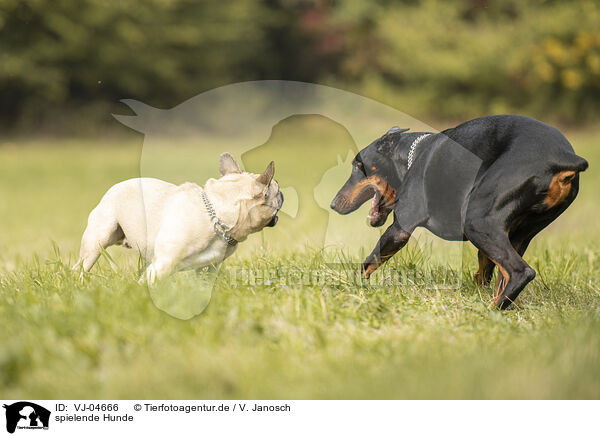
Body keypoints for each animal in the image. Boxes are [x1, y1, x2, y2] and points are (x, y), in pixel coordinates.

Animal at [330, 114, 588, 308]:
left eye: (358, 165)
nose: (333, 203)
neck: (411, 159)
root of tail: (563, 158)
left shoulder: (399, 229)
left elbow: (366, 264)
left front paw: (344, 287)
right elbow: (484, 272)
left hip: (476, 220)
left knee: (521, 272)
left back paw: (490, 311)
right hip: (518, 234)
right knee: (506, 277)